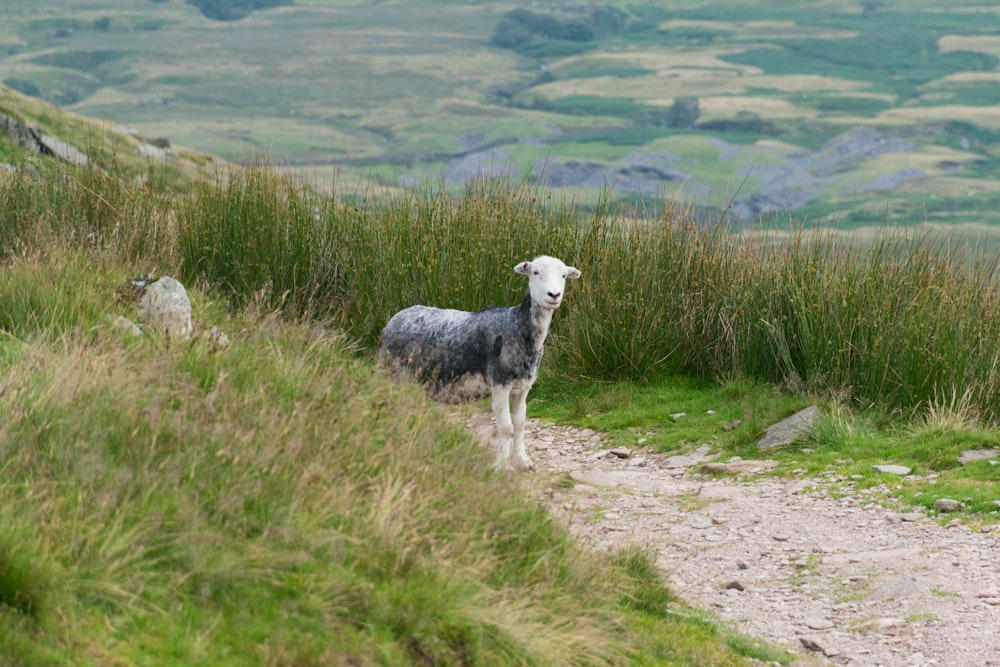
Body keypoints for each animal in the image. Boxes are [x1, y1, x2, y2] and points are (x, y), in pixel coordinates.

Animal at [378, 253, 584, 472]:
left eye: (564, 275)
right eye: (535, 272)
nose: (554, 295)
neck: (518, 326)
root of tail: (392, 321)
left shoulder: (523, 386)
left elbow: (520, 425)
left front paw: (523, 462)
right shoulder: (500, 382)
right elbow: (506, 427)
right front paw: (501, 467)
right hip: (392, 372)